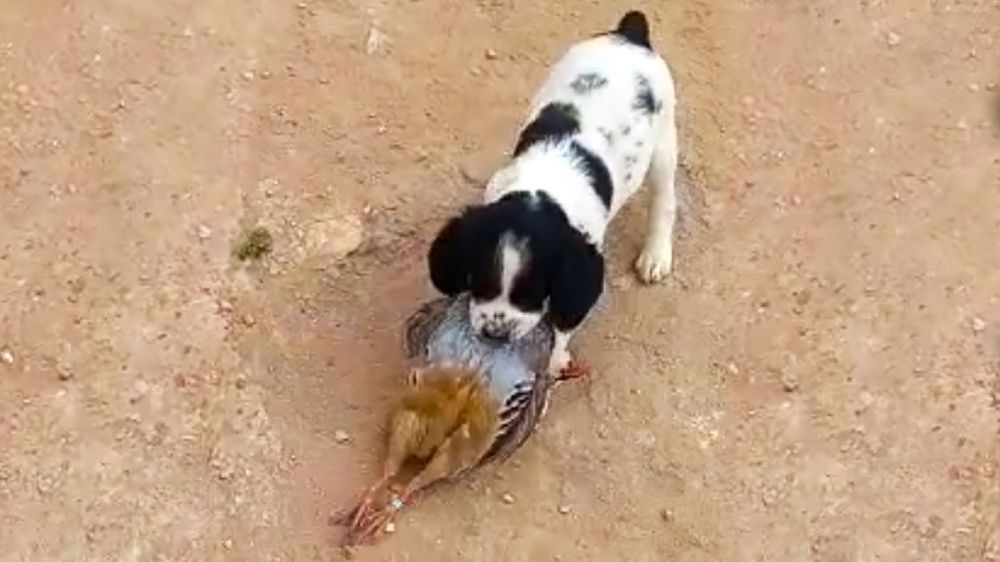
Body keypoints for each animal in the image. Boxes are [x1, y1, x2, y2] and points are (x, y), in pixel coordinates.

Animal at [430, 9, 680, 372]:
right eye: (481, 281)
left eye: (530, 295)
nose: (494, 335)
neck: (542, 188)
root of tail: (630, 33)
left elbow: (564, 323)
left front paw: (554, 360)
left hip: (663, 144)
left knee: (664, 198)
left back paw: (656, 254)